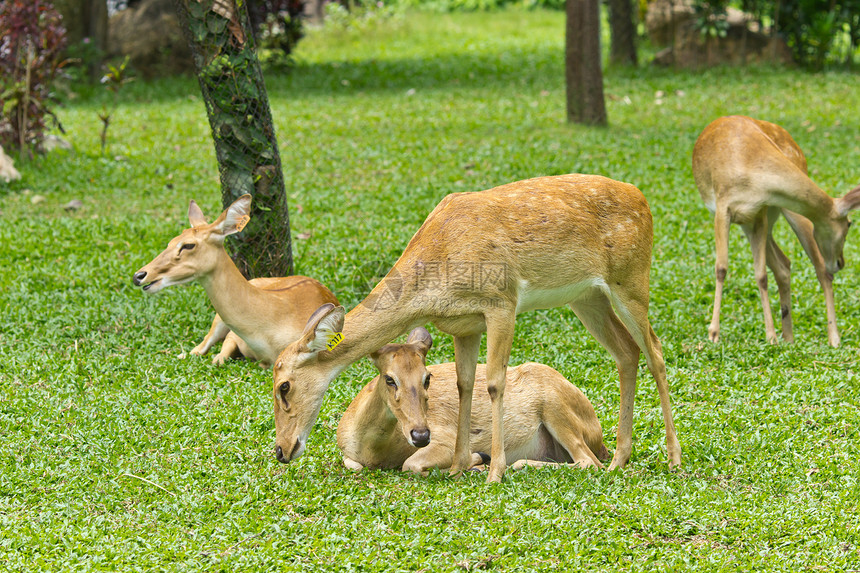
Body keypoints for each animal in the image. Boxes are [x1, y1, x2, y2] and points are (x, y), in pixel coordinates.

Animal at [133, 193, 338, 366]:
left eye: (188, 245)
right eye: (170, 242)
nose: (139, 276)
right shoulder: (233, 336)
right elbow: (219, 355)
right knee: (199, 347)